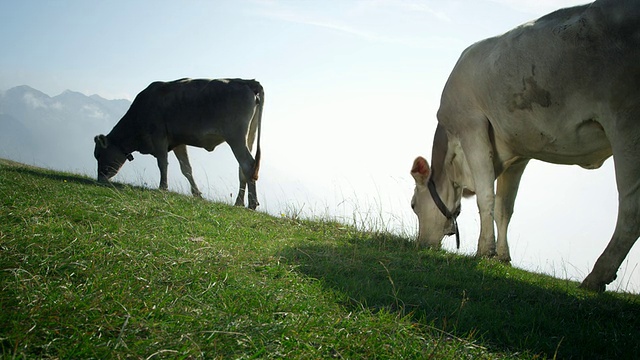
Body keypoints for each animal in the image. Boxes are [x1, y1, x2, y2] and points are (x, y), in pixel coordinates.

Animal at [93, 77, 262, 210]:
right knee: (243, 169)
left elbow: (162, 163)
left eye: (98, 155)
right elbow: (186, 169)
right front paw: (196, 194)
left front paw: (163, 187)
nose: (100, 179)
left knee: (248, 164)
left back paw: (252, 204)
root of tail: (247, 82)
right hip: (248, 137)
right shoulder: (178, 142)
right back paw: (239, 203)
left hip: (236, 137)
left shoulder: (159, 136)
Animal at [410, 0, 640, 292]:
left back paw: (597, 276)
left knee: (631, 208)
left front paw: (484, 251)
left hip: (627, 122)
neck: (455, 158)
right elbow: (504, 207)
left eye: (413, 205)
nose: (421, 244)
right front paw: (502, 257)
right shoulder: (517, 154)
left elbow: (486, 196)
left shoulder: (472, 126)